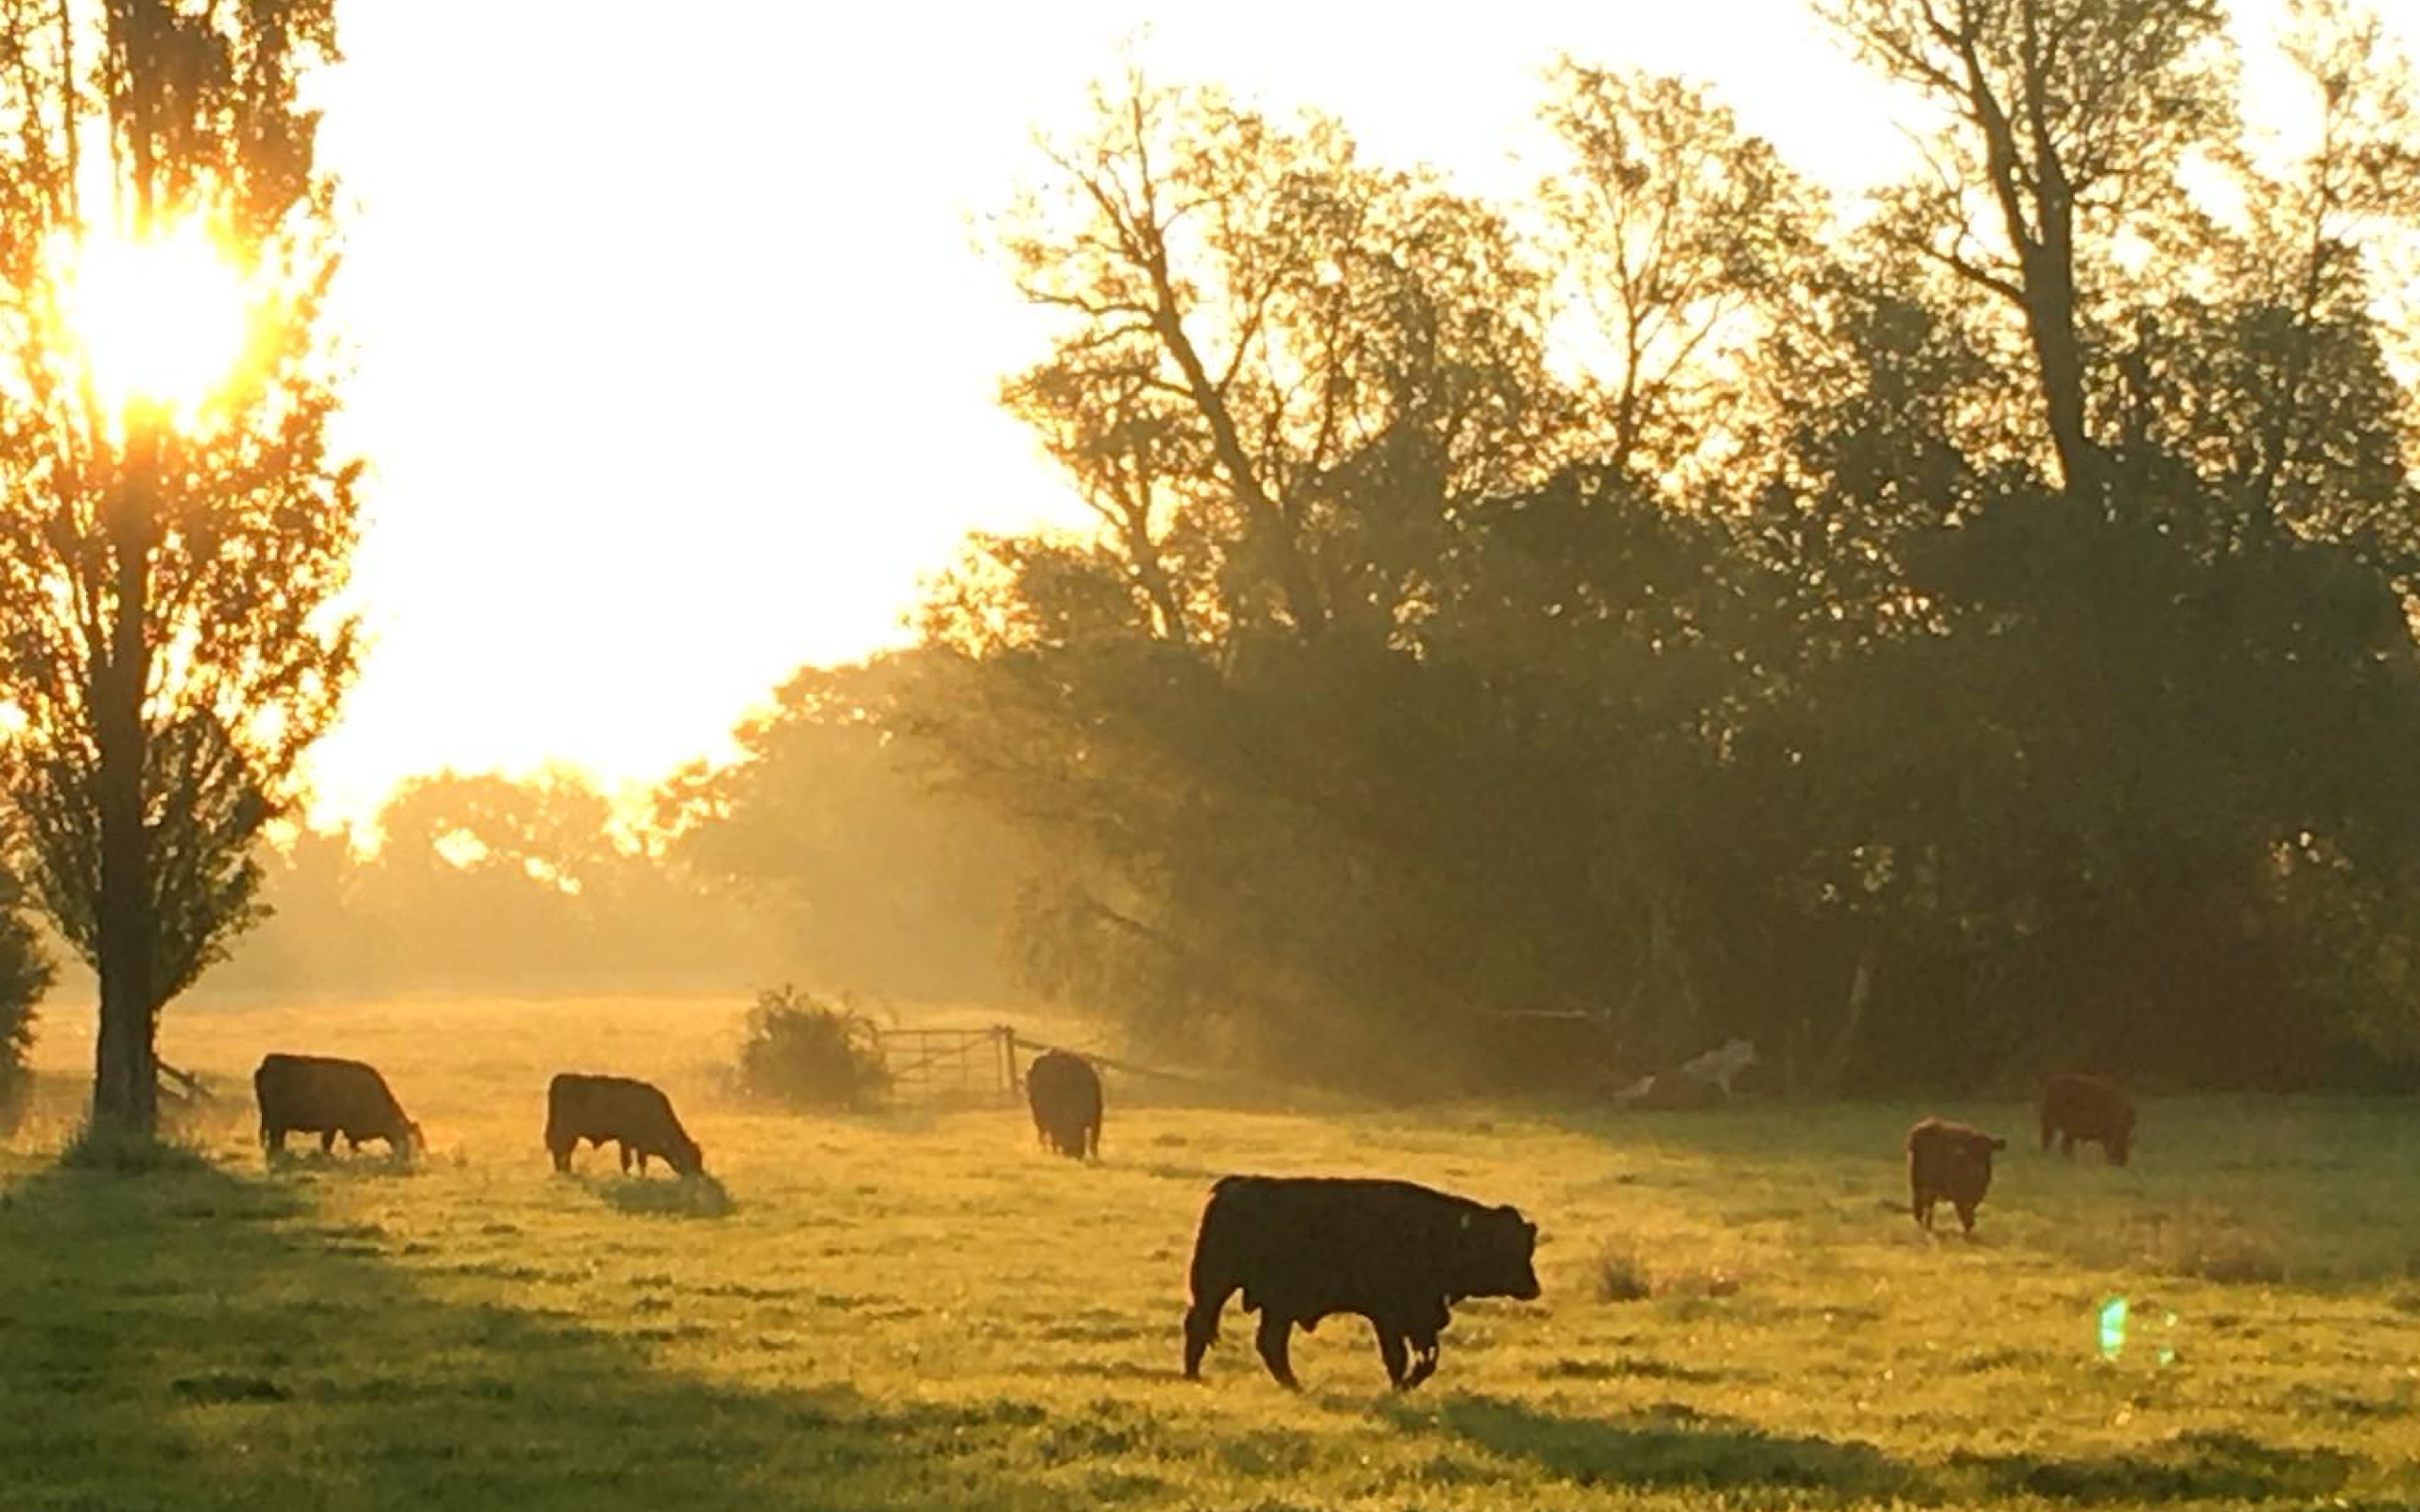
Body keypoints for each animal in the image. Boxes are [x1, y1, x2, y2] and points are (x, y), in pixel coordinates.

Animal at [252, 1050, 424, 1156]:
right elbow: (327, 1144)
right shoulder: (331, 1126)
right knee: (275, 1141)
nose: (408, 1158)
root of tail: (266, 1064)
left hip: (277, 1123)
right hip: (276, 1122)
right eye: (406, 1139)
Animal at [546, 1069, 701, 1176]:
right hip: (566, 1132)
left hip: (572, 1135)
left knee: (565, 1152)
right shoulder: (626, 1141)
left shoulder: (639, 1145)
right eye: (691, 1157)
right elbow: (627, 1161)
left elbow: (641, 1162)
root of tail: (560, 1078)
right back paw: (564, 1172)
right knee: (561, 1150)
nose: (699, 1174)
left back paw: (566, 1172)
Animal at [1181, 1165, 1539, 1393]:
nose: (1533, 1287)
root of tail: (1231, 1186)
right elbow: (1398, 1357)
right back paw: (1194, 1377)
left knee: (1269, 1342)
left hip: (1275, 1307)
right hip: (1215, 1286)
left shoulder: (1422, 1317)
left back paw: (1293, 1385)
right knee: (1200, 1325)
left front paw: (1405, 1386)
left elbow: (1426, 1358)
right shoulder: (1389, 1317)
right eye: (1504, 1246)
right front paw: (1399, 1387)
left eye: (1525, 1246)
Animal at [1907, 1112, 2003, 1233]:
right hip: (1924, 1185)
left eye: (1989, 1152)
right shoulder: (1961, 1193)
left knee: (1923, 1208)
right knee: (1922, 1208)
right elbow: (1966, 1214)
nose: (1980, 1167)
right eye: (1972, 1151)